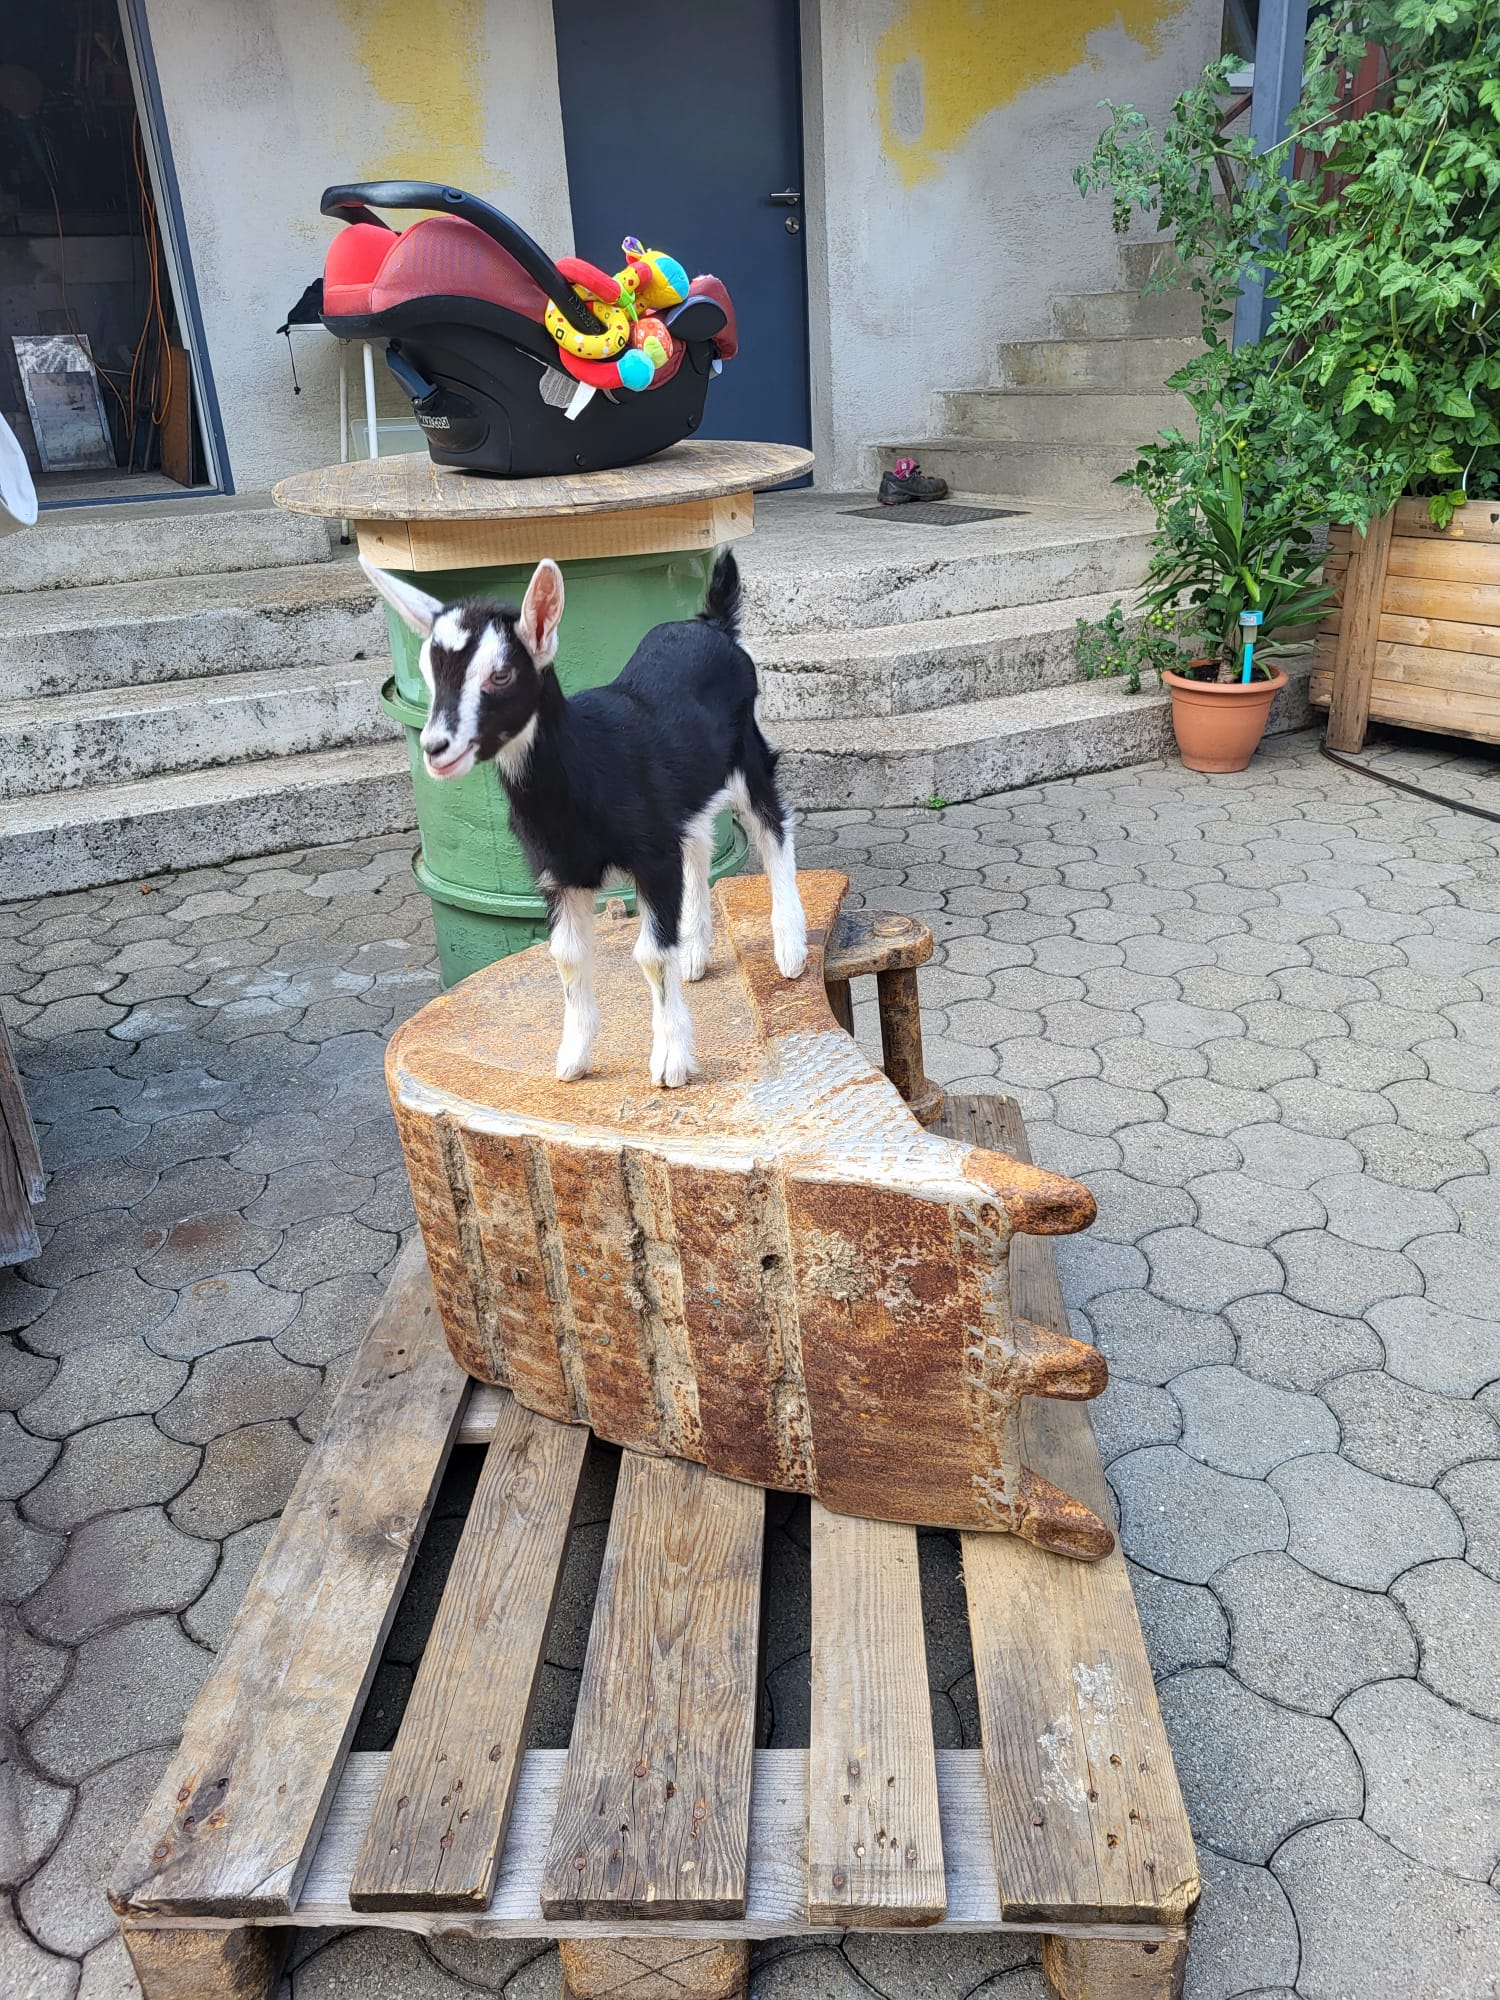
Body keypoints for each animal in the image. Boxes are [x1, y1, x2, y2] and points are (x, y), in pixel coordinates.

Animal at [362, 548, 807, 1088]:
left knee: (773, 827)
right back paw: (695, 952)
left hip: (746, 753)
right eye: (429, 676)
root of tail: (713, 623)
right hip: (686, 792)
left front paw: (671, 1062)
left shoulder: (652, 858)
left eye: (501, 675)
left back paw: (790, 949)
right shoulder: (557, 873)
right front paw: (572, 1059)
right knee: (700, 840)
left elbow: (650, 955)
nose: (435, 748)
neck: (587, 762)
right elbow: (568, 957)